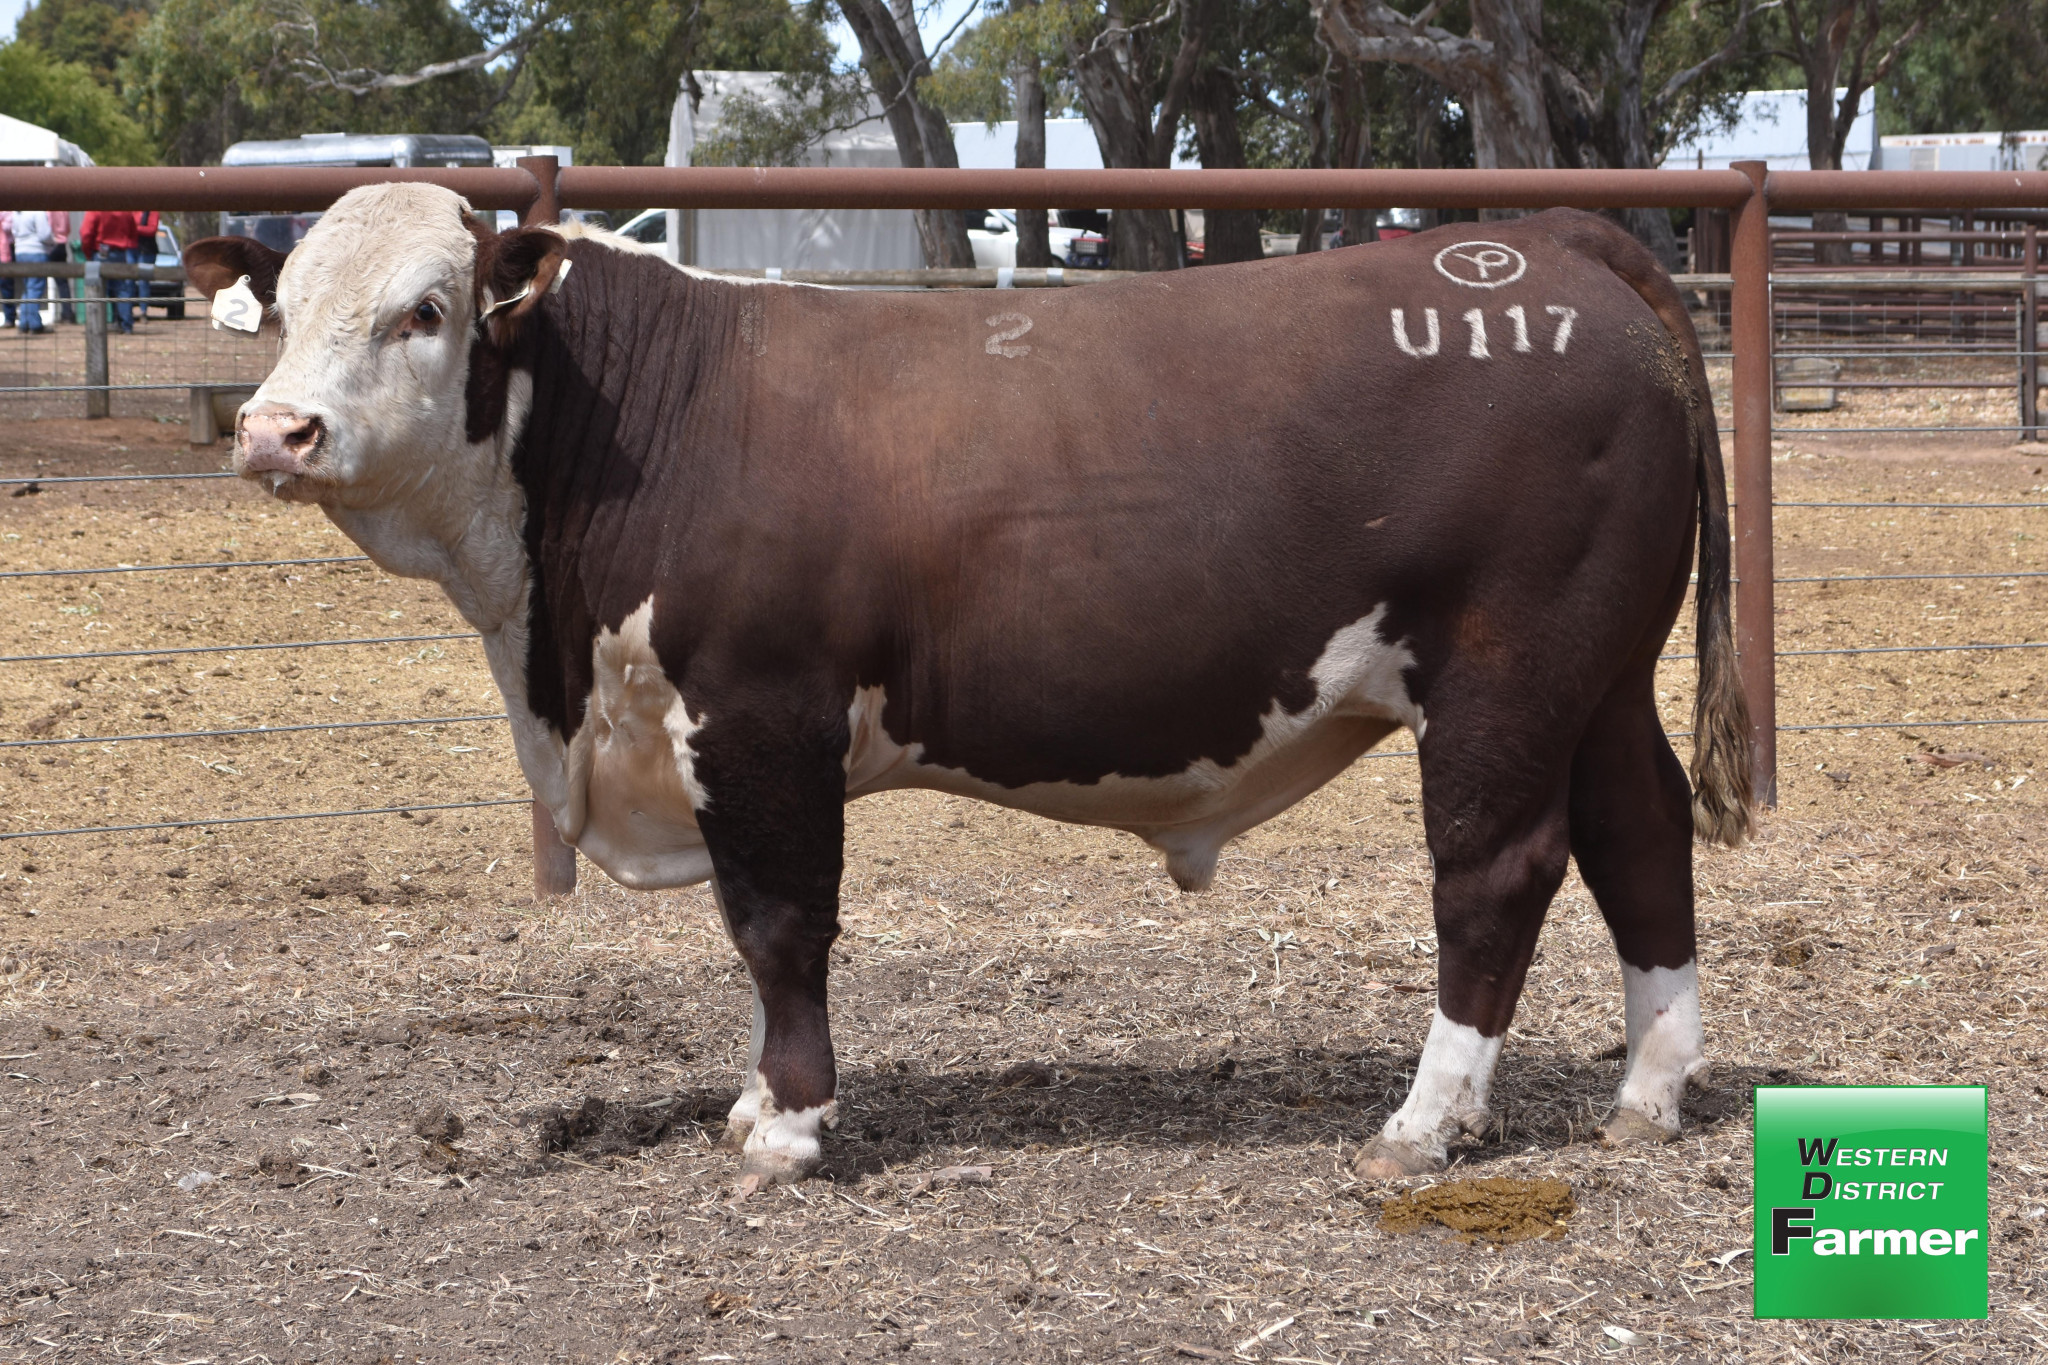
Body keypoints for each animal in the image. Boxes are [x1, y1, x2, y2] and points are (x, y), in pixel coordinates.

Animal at [184, 184, 1761, 1195]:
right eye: (282, 307)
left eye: (427, 310)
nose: (274, 430)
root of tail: (1542, 239)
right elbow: (754, 935)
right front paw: (753, 1101)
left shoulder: (762, 714)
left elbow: (777, 926)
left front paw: (788, 1126)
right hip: (1599, 675)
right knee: (1639, 833)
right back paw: (1645, 1094)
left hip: (1504, 669)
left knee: (1497, 868)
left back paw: (1425, 1124)